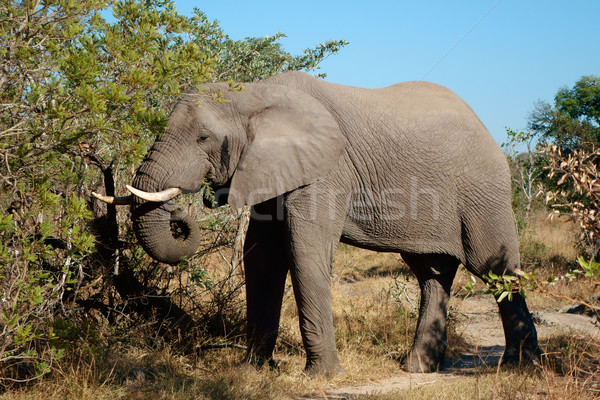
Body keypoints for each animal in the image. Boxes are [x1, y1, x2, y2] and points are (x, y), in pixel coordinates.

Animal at [94, 69, 540, 376]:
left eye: (204, 139)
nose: (183, 211)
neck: (256, 93)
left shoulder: (326, 170)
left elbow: (304, 252)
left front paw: (322, 376)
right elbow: (261, 259)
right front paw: (253, 370)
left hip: (483, 192)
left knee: (495, 269)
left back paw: (521, 367)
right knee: (432, 274)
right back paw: (417, 369)